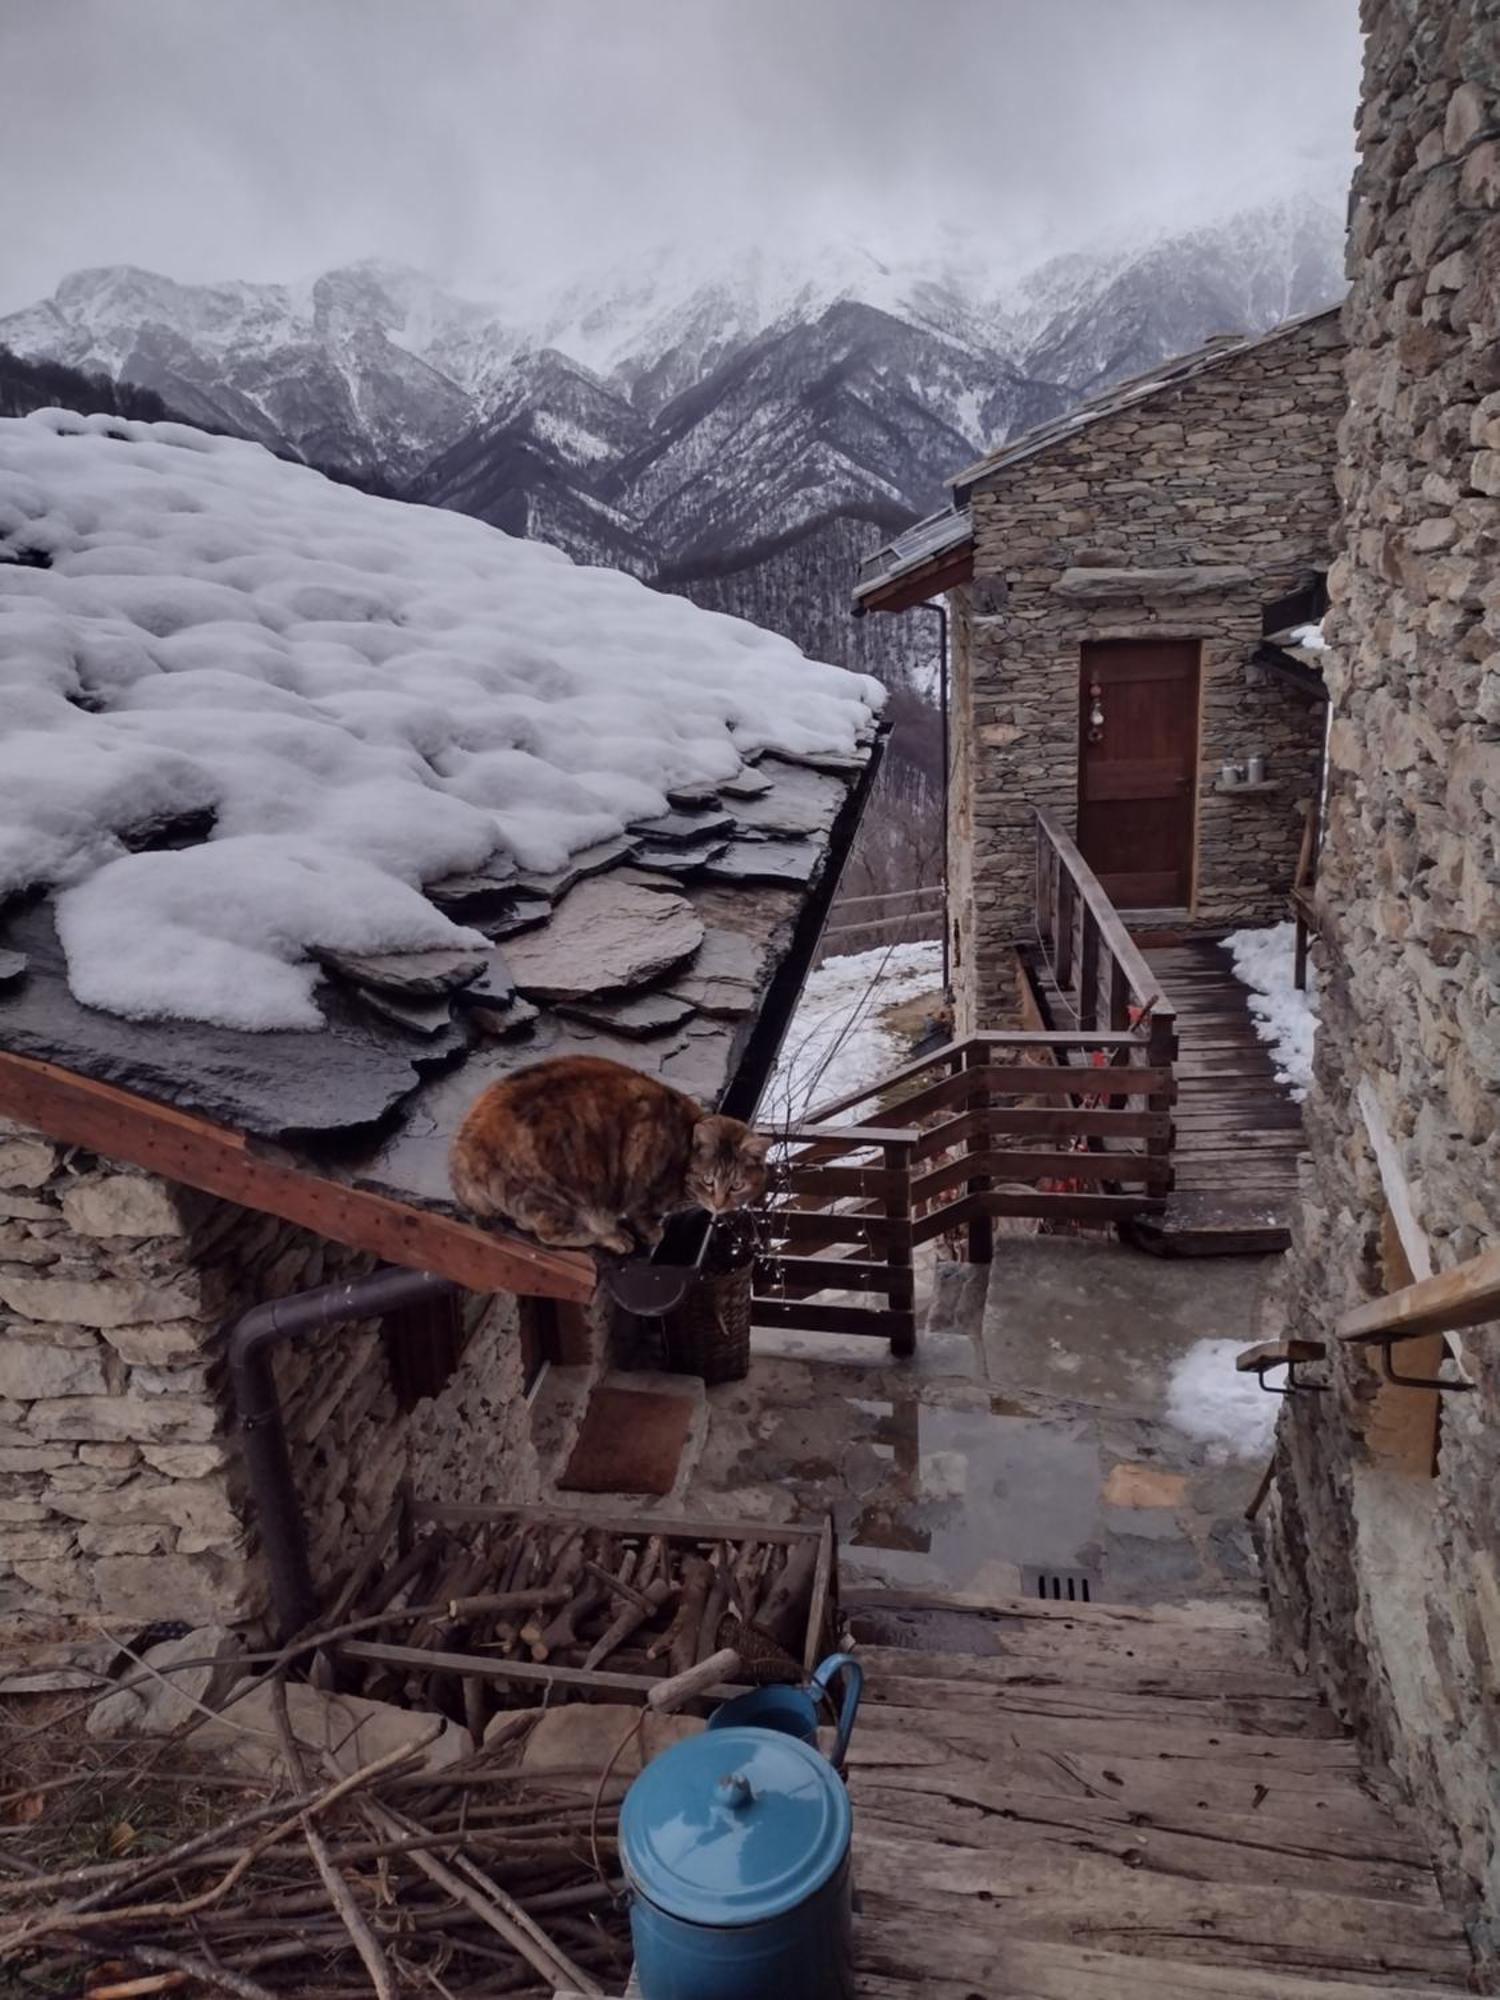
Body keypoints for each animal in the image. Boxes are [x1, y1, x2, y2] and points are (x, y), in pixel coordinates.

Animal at [452, 1064, 768, 1248]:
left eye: (737, 1186)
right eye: (708, 1180)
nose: (718, 1204)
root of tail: (460, 1154)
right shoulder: (642, 1179)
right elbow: (643, 1213)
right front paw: (651, 1231)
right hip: (558, 1195)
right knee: (550, 1232)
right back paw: (612, 1237)